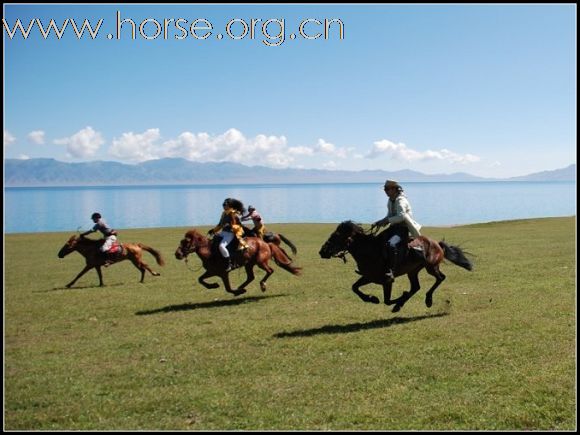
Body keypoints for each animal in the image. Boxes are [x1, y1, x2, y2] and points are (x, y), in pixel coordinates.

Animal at [174, 230, 302, 298]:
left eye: (186, 242)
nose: (177, 254)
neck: (209, 251)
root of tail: (265, 243)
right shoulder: (211, 271)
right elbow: (200, 279)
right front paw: (213, 285)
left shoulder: (223, 273)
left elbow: (228, 288)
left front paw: (238, 292)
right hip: (249, 264)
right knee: (251, 277)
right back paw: (242, 286)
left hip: (260, 262)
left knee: (269, 271)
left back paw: (262, 285)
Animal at [320, 223, 474, 312]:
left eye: (336, 236)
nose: (322, 252)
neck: (370, 250)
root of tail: (436, 243)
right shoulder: (369, 277)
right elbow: (355, 288)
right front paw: (371, 298)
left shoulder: (387, 280)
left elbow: (387, 300)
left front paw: (394, 299)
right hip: (412, 271)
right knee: (416, 287)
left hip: (431, 267)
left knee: (440, 278)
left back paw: (427, 300)